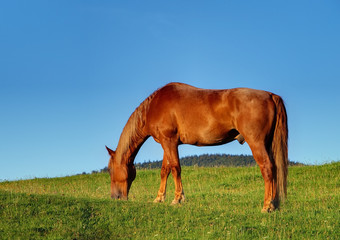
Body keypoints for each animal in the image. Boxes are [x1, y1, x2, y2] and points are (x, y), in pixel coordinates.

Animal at [105, 82, 286, 212]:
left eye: (110, 170)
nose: (115, 198)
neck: (154, 106)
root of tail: (270, 95)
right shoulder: (167, 143)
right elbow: (165, 170)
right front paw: (159, 198)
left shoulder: (169, 141)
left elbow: (175, 168)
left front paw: (177, 199)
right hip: (267, 144)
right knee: (275, 169)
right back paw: (274, 204)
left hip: (256, 143)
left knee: (267, 168)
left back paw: (266, 206)